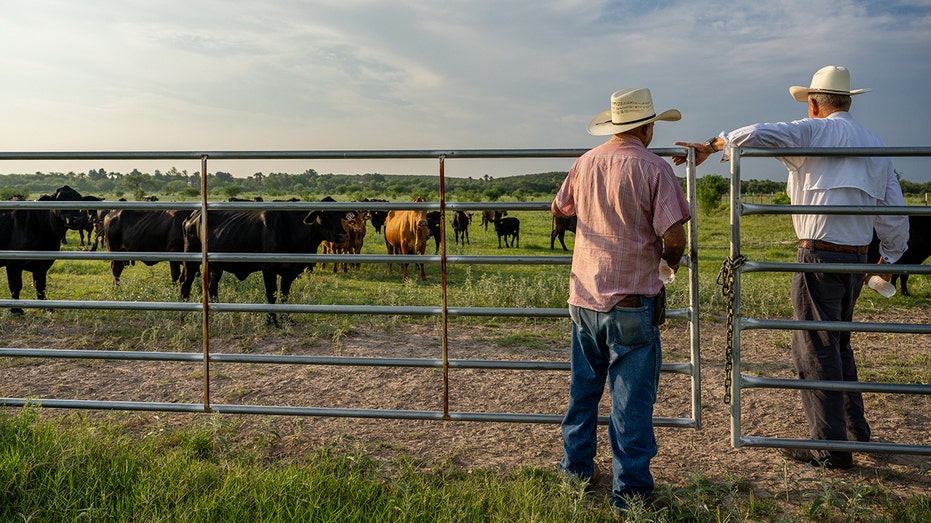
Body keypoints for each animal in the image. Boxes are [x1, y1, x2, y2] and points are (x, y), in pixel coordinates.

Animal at [0, 186, 86, 314]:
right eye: (61, 200)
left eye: (79, 200)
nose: (77, 219)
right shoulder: (13, 263)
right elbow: (15, 286)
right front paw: (16, 310)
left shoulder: (43, 264)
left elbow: (40, 286)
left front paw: (46, 307)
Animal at [180, 198, 348, 326]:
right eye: (326, 215)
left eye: (341, 215)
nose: (343, 235)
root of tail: (193, 215)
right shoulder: (268, 268)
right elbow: (271, 294)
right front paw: (271, 320)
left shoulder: (290, 272)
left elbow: (284, 295)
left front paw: (287, 319)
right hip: (191, 261)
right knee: (185, 283)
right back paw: (183, 315)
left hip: (215, 266)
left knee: (212, 286)